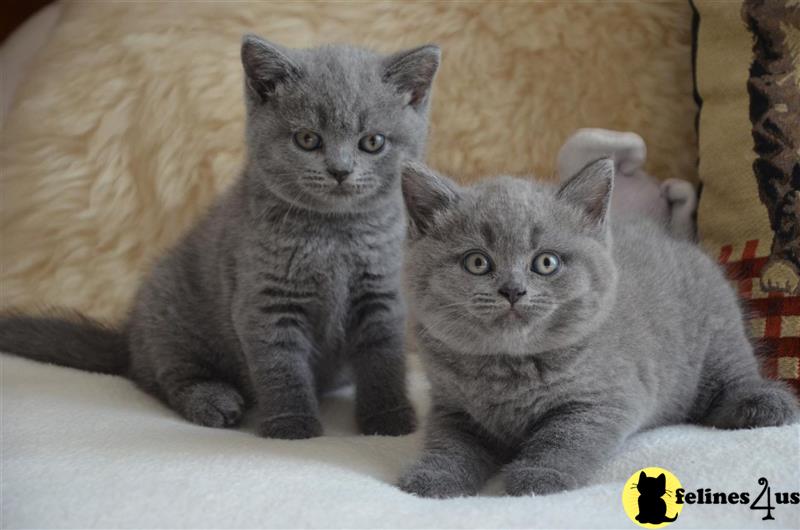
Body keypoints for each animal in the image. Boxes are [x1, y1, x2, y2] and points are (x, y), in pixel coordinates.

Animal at [0, 36, 440, 438]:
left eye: (372, 142)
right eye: (307, 139)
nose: (340, 170)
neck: (335, 234)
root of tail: (129, 337)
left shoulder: (380, 294)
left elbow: (383, 360)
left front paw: (389, 419)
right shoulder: (265, 300)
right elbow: (281, 366)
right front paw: (292, 425)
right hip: (173, 313)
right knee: (163, 376)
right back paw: (214, 401)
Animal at [396, 160, 796, 496]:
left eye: (546, 262)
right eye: (477, 262)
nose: (512, 290)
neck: (508, 367)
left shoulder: (605, 398)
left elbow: (565, 437)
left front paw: (541, 476)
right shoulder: (453, 408)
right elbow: (450, 444)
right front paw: (432, 477)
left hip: (718, 334)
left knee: (733, 376)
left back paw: (763, 404)